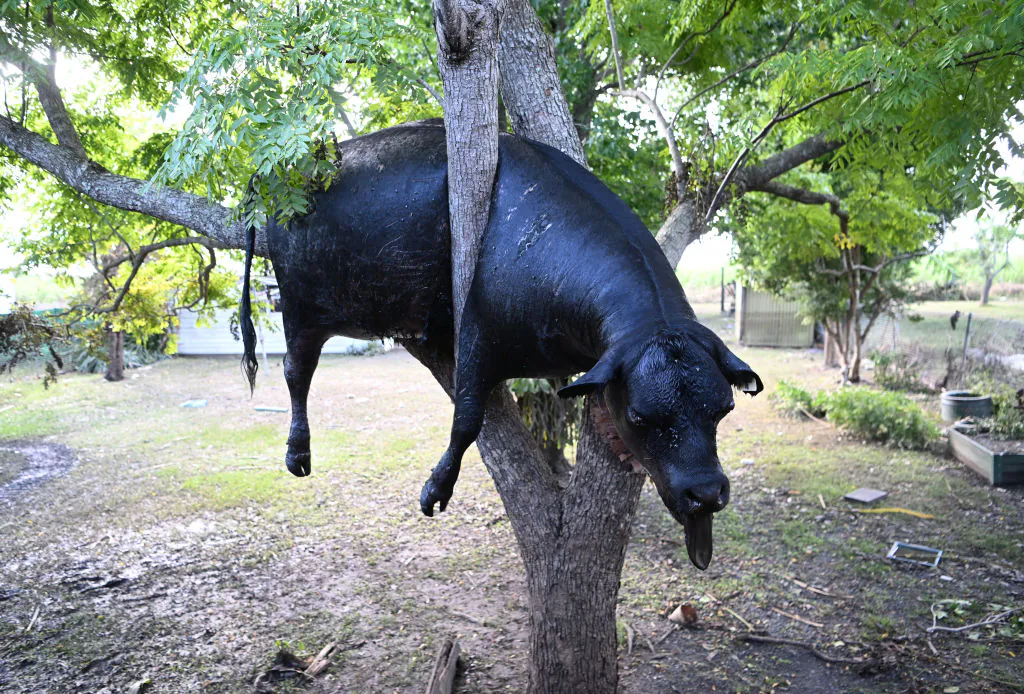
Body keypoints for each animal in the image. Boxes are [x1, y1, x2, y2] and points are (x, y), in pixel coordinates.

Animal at [240, 120, 762, 570]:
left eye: (724, 410)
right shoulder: (477, 334)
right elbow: (466, 419)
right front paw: (438, 486)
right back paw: (297, 452)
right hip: (300, 306)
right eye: (640, 416)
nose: (706, 494)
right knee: (295, 371)